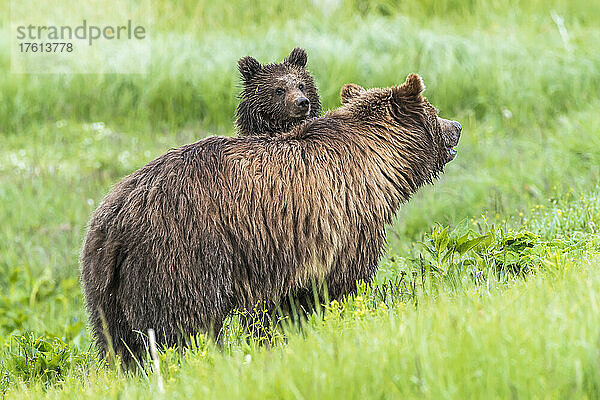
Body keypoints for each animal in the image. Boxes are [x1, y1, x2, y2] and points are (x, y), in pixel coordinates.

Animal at [81, 72, 464, 366]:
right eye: (433, 111)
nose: (457, 126)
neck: (376, 165)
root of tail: (117, 217)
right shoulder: (341, 227)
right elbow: (340, 286)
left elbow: (282, 309)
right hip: (182, 257)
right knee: (185, 327)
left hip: (106, 284)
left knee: (118, 344)